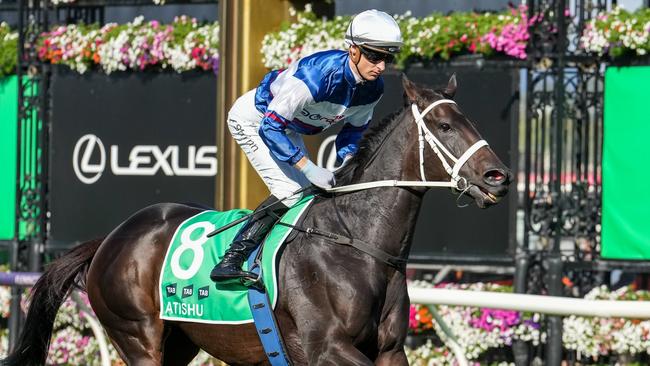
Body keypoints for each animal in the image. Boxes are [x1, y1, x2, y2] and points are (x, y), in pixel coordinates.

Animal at [6, 75, 512, 366]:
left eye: (469, 120)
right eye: (445, 126)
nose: (499, 176)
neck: (356, 243)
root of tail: (110, 239)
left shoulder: (390, 350)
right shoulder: (325, 347)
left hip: (179, 341)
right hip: (137, 335)